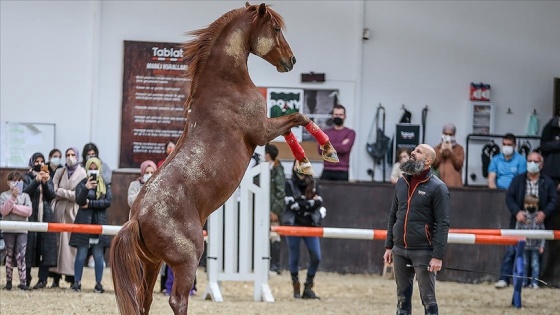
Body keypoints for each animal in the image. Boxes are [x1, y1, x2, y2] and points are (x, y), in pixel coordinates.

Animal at [110, 3, 336, 315]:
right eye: (276, 28)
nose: (291, 60)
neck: (226, 84)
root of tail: (137, 218)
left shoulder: (266, 130)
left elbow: (292, 126)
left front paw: (305, 161)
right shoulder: (262, 131)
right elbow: (298, 117)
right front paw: (324, 152)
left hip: (151, 263)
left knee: (143, 301)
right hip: (187, 259)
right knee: (177, 300)